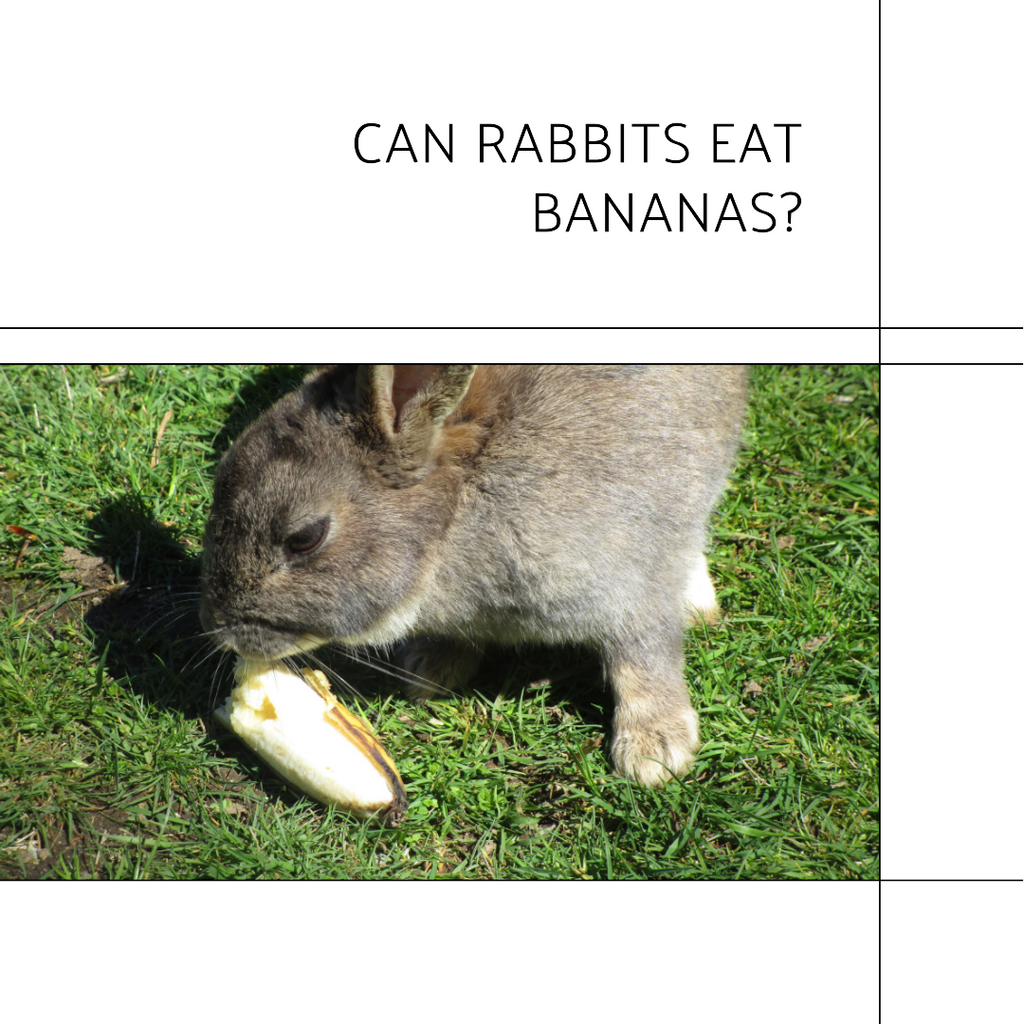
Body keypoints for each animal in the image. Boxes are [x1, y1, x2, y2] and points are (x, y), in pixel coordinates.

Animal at [200, 364, 747, 787]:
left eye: (305, 537)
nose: (221, 630)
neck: (455, 516)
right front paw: (431, 671)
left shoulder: (629, 583)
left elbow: (643, 657)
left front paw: (655, 753)